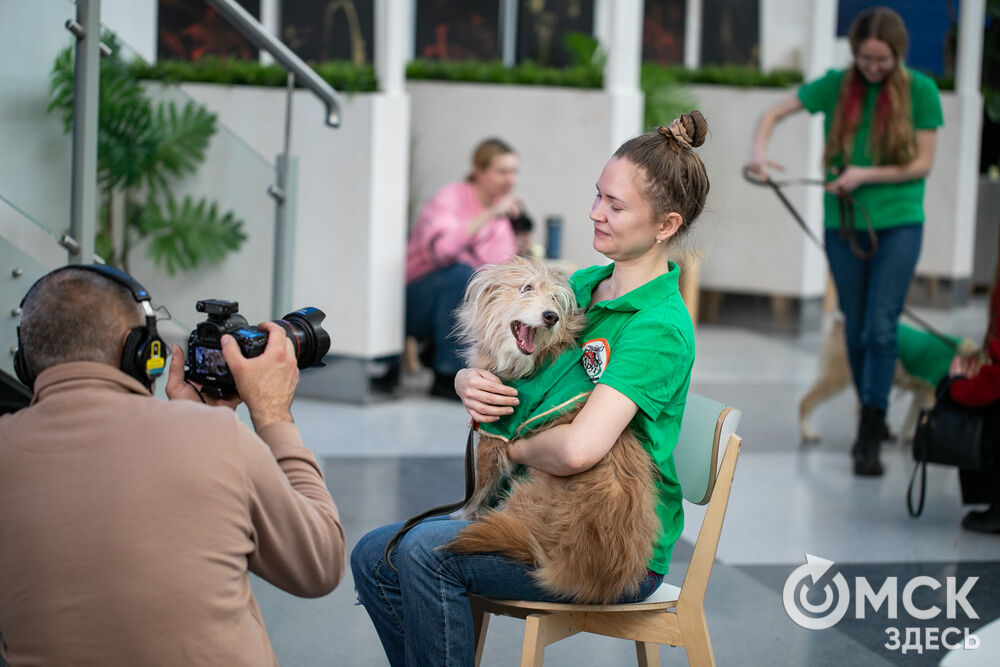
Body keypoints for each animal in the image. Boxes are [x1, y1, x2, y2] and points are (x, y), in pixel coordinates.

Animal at [448, 258, 664, 608]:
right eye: (526, 288)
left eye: (554, 299)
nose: (552, 316)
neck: (530, 362)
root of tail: (598, 576)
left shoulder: (496, 435)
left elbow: (480, 487)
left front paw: (464, 514)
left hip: (524, 497)